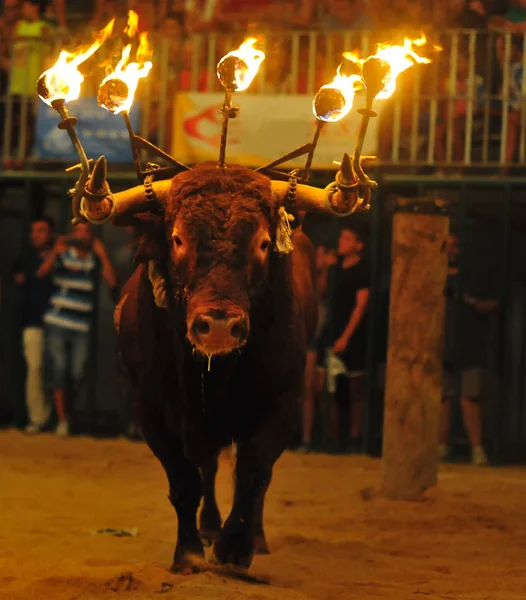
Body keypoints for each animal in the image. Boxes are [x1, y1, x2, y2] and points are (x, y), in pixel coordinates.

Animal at [80, 154, 366, 572]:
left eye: (263, 243)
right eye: (178, 239)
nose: (217, 325)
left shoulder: (282, 404)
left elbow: (253, 473)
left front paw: (236, 547)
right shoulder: (150, 409)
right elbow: (185, 481)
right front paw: (188, 552)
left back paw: (252, 537)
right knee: (208, 467)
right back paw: (209, 526)